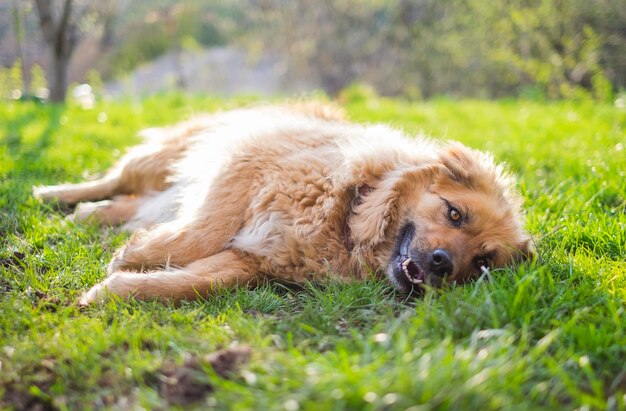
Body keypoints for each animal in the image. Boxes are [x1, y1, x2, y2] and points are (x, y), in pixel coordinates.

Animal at [33, 104, 532, 306]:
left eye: (482, 264)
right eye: (454, 213)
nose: (444, 262)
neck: (346, 216)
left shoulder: (251, 261)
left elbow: (187, 284)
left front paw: (114, 288)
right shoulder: (244, 166)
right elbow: (204, 230)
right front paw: (134, 256)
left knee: (124, 204)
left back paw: (90, 217)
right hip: (161, 160)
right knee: (114, 179)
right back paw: (53, 195)